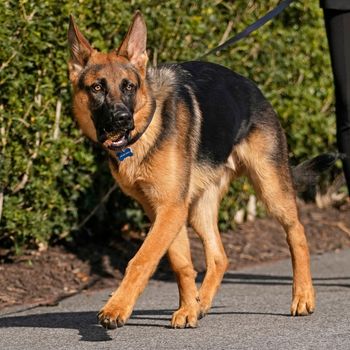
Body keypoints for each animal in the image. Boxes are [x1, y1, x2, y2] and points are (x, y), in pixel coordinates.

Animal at [67, 10, 322, 328]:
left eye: (129, 86)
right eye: (97, 87)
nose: (122, 119)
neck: (148, 127)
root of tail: (253, 87)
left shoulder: (170, 209)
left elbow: (142, 259)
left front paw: (117, 307)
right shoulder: (164, 211)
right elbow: (181, 263)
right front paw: (188, 308)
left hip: (270, 188)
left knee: (297, 231)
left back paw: (303, 296)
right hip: (199, 208)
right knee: (219, 256)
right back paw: (202, 302)